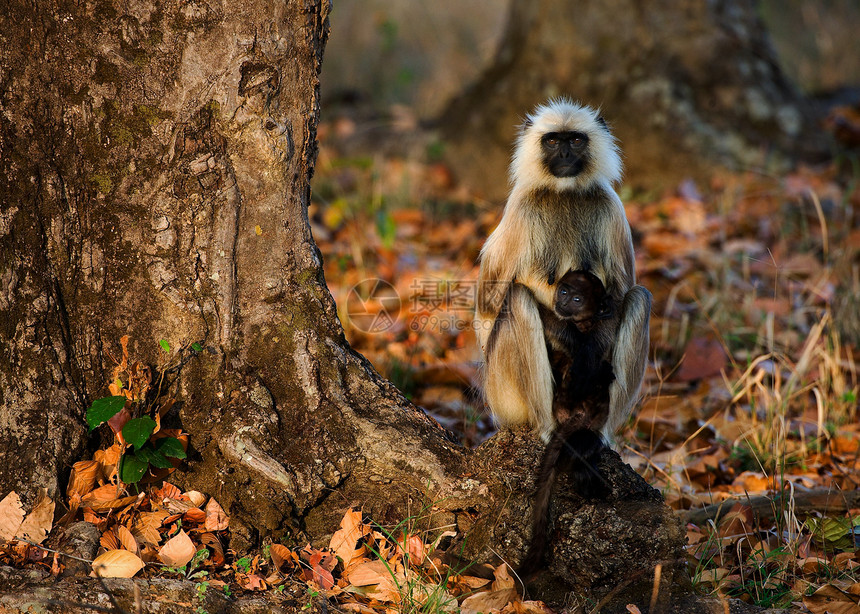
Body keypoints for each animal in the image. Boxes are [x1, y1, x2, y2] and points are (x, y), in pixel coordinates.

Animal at [478, 97, 652, 466]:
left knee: (639, 298)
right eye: (552, 141)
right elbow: (488, 304)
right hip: (503, 395)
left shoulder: (610, 206)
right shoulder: (521, 208)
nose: (565, 155)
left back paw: (598, 433)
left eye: (575, 140)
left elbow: (619, 293)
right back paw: (548, 429)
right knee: (517, 299)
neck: (564, 194)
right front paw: (570, 338)